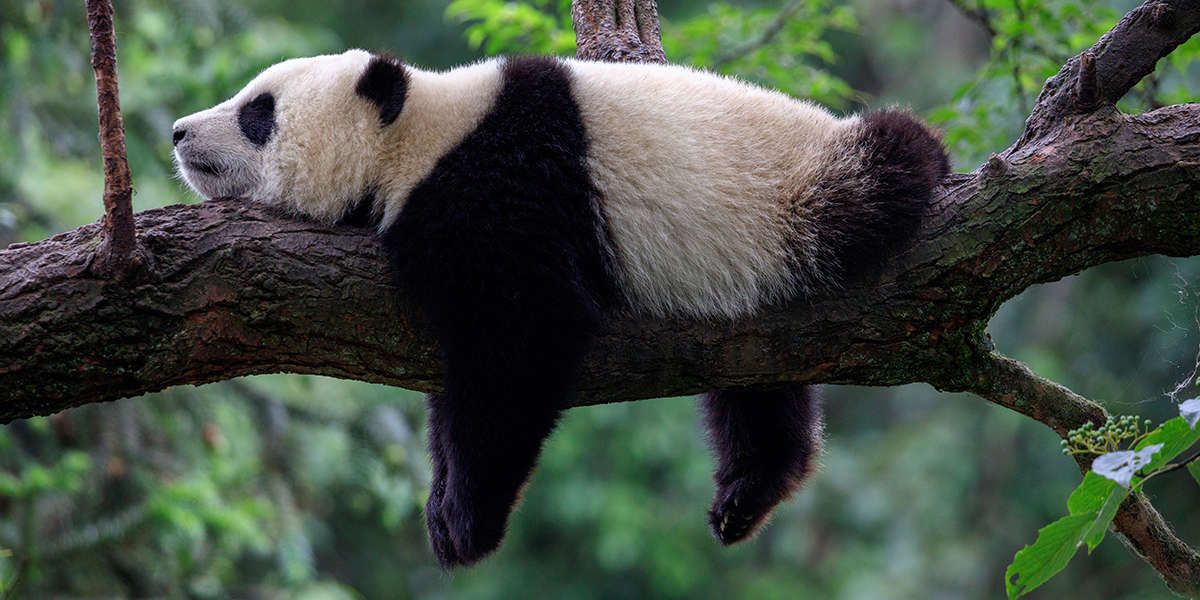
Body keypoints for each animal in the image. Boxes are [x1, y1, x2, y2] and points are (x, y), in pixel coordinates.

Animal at [172, 49, 949, 568]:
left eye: (258, 112)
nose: (179, 132)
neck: (420, 134)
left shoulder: (505, 189)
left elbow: (522, 341)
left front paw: (467, 519)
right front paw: (442, 502)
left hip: (799, 195)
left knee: (887, 165)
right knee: (758, 382)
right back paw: (749, 490)